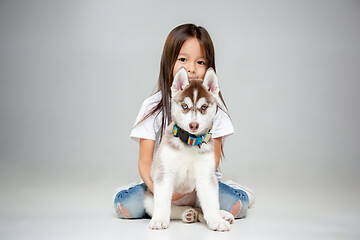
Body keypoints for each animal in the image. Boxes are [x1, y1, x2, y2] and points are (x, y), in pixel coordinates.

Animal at [143, 67, 233, 231]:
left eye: (204, 107)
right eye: (185, 106)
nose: (194, 125)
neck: (189, 143)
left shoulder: (206, 177)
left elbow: (211, 203)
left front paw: (217, 220)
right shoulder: (164, 174)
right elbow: (163, 201)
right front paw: (159, 220)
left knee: (202, 208)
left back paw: (222, 214)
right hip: (148, 199)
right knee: (174, 209)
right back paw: (187, 213)